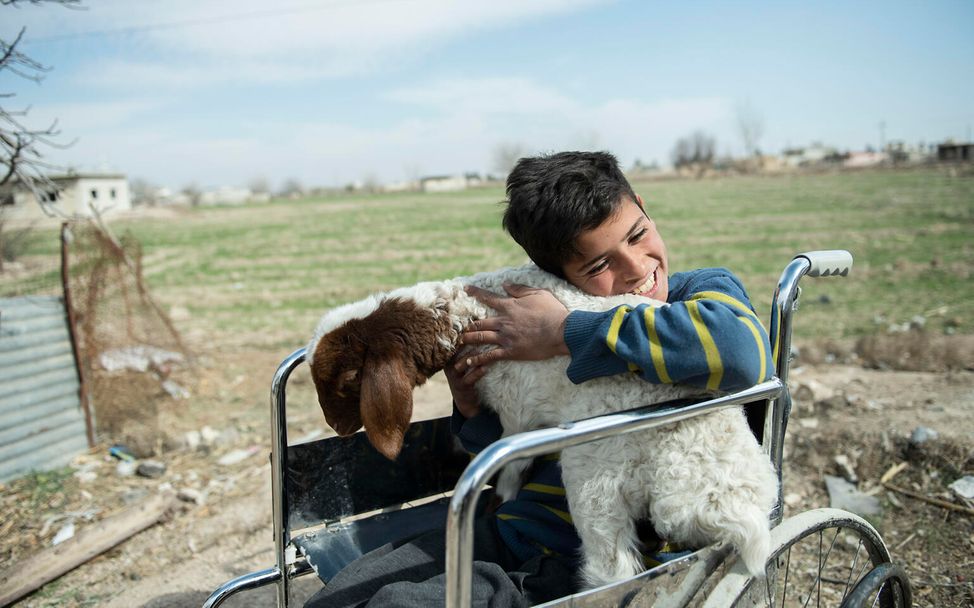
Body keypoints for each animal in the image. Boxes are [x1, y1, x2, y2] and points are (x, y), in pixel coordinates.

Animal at [308, 262, 780, 588]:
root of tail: (730, 507)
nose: (336, 426)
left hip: (595, 479)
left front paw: (498, 502)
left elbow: (510, 470)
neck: (467, 314)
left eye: (348, 379)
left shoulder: (518, 413)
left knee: (614, 567)